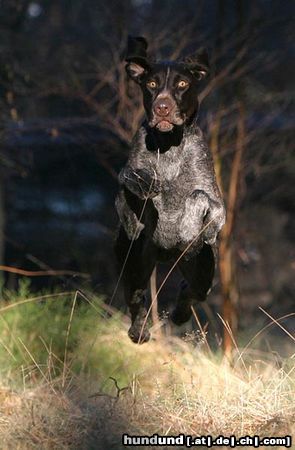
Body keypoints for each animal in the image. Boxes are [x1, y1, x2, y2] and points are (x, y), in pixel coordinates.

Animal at [115, 37, 227, 342]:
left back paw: (179, 313)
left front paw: (188, 229)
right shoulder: (127, 180)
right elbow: (127, 177)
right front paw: (144, 183)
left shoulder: (217, 204)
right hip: (134, 264)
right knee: (136, 299)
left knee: (191, 292)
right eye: (152, 84)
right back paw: (138, 331)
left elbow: (199, 196)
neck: (168, 146)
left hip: (202, 271)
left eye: (182, 84)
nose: (162, 107)